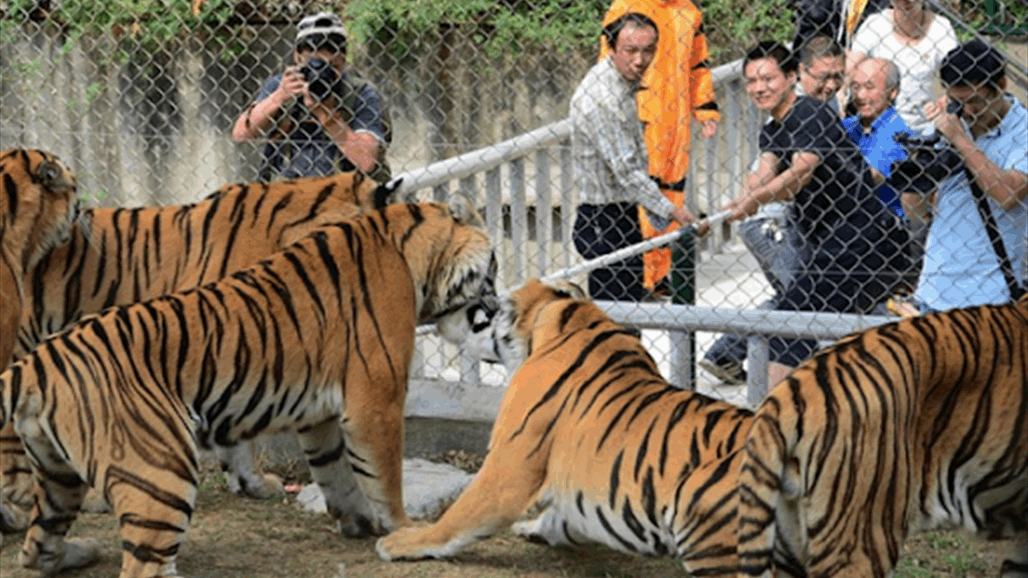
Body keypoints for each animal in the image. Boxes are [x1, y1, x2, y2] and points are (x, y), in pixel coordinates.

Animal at [376, 277, 756, 571]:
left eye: (487, 307)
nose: (448, 316)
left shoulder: (509, 465)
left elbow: (460, 514)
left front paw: (401, 542)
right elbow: (562, 518)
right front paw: (533, 527)